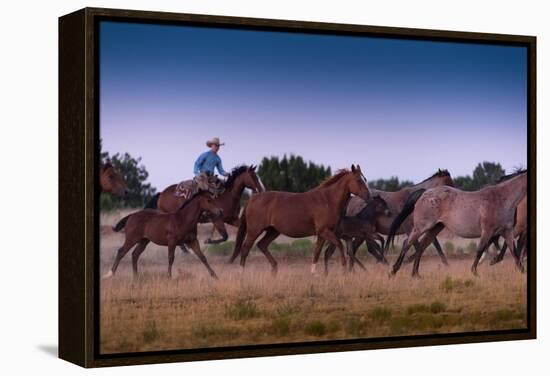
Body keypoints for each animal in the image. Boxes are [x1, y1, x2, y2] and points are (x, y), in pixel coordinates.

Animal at [231, 164, 374, 274]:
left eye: (365, 179)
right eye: (358, 180)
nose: (369, 196)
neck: (327, 200)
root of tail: (252, 198)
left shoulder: (322, 235)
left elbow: (317, 253)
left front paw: (314, 274)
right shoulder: (324, 231)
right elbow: (339, 245)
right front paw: (343, 270)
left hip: (273, 231)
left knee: (262, 245)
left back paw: (274, 270)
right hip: (254, 231)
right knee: (245, 249)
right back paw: (241, 275)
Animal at [386, 170, 528, 276]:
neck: (501, 198)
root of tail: (424, 193)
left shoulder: (507, 231)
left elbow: (514, 253)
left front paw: (522, 272)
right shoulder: (487, 231)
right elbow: (480, 250)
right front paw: (474, 272)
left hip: (435, 228)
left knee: (421, 246)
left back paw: (415, 274)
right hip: (422, 227)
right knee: (407, 243)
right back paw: (394, 271)